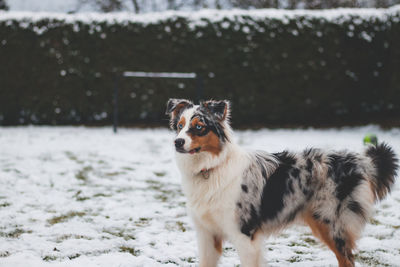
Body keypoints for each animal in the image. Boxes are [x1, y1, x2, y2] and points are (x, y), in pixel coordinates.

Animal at [165, 99, 396, 267]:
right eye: (180, 126)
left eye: (199, 127)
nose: (177, 142)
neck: (211, 168)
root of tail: (359, 161)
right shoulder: (207, 235)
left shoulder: (245, 235)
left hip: (331, 223)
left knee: (347, 260)